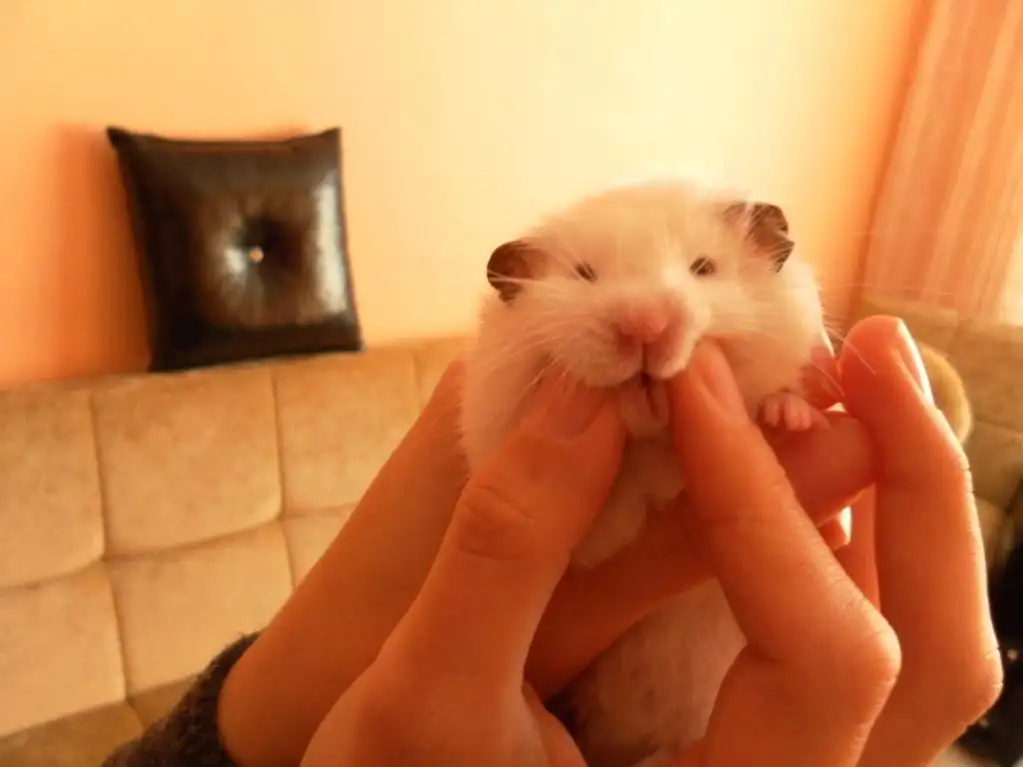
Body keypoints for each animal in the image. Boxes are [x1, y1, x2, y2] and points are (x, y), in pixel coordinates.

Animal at [458, 177, 828, 767]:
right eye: (584, 274)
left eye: (704, 267)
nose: (645, 326)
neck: (655, 441)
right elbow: (607, 522)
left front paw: (789, 417)